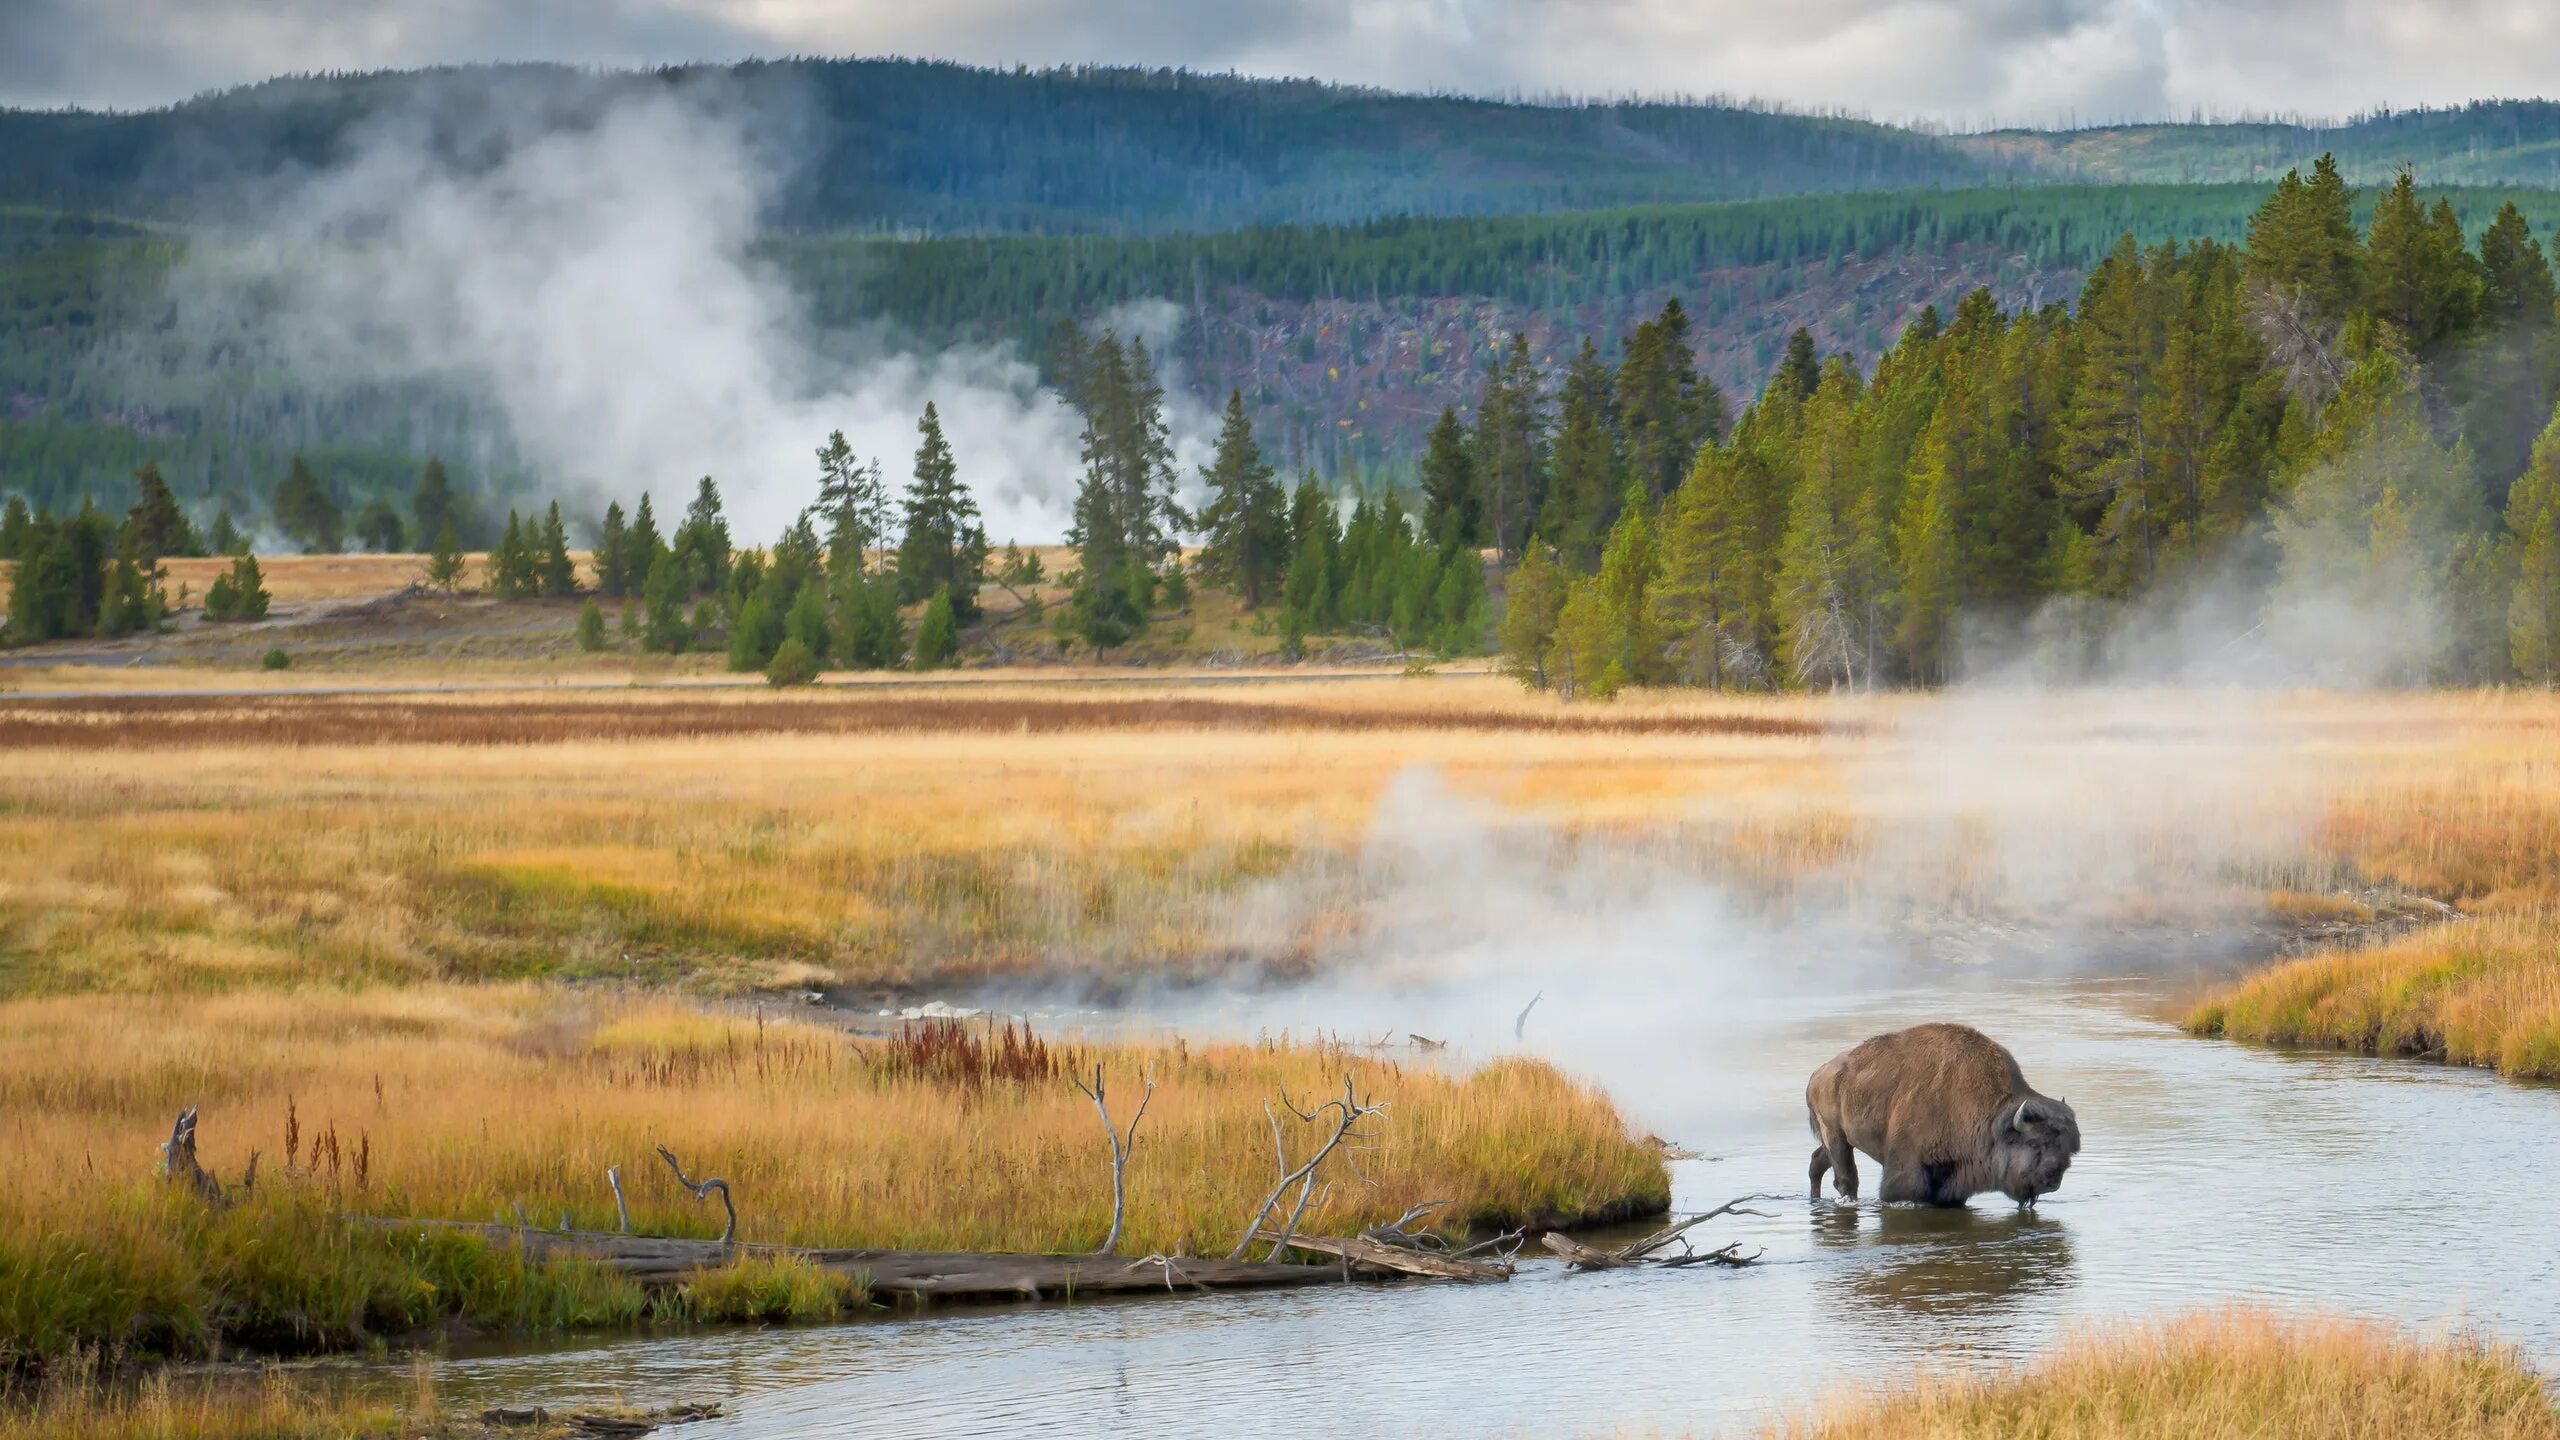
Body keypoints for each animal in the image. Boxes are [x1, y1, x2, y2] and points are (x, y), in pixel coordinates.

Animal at [1802, 1014, 2078, 1204]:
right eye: (2034, 1144)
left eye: (2067, 1149)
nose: (2053, 1181)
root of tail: (1818, 1074)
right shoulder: (1907, 1170)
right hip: (1835, 1136)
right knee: (1845, 1178)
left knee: (1817, 1161)